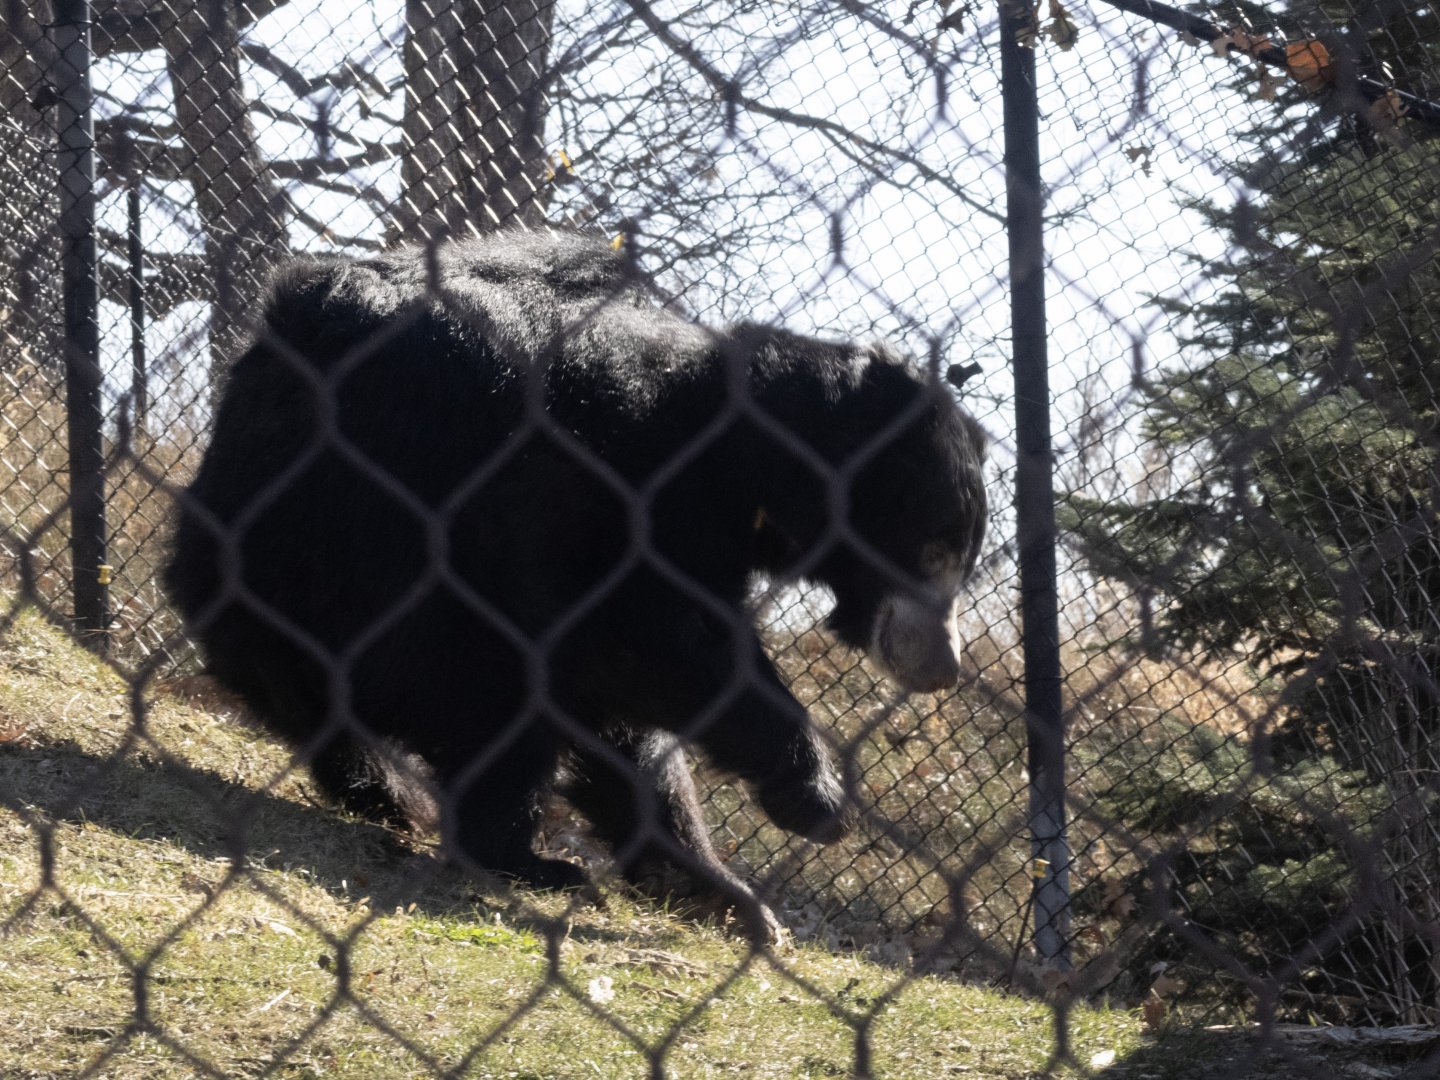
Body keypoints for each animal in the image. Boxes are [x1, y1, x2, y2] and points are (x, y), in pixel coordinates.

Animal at [164, 229, 988, 940]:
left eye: (964, 556)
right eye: (934, 549)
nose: (943, 668)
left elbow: (631, 704)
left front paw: (716, 889)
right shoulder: (561, 483)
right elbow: (627, 636)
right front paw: (815, 797)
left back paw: (388, 796)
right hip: (359, 557)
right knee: (488, 697)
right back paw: (518, 855)